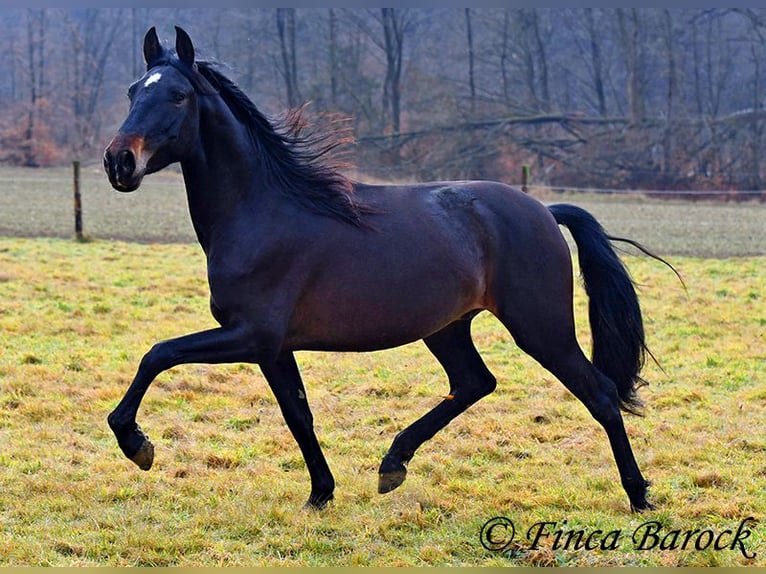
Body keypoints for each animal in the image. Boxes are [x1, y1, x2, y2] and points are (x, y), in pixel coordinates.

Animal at [105, 27, 668, 512]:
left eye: (178, 95)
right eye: (132, 91)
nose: (119, 162)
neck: (261, 212)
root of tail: (546, 212)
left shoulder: (251, 335)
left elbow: (159, 354)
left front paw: (136, 444)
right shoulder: (274, 347)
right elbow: (298, 413)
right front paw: (321, 494)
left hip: (540, 327)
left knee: (599, 394)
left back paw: (640, 496)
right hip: (447, 327)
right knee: (474, 382)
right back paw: (392, 464)